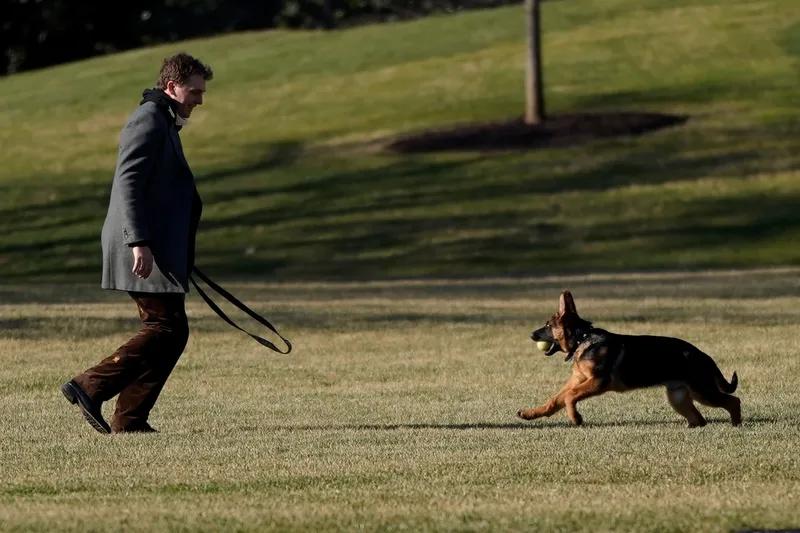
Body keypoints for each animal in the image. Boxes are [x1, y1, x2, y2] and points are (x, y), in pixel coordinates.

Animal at [516, 288, 740, 426]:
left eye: (547, 326)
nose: (531, 335)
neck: (583, 339)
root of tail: (704, 356)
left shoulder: (598, 382)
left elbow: (570, 396)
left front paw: (576, 418)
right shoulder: (577, 380)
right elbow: (556, 399)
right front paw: (531, 413)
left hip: (703, 392)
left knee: (733, 401)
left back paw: (736, 424)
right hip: (678, 396)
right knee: (700, 419)